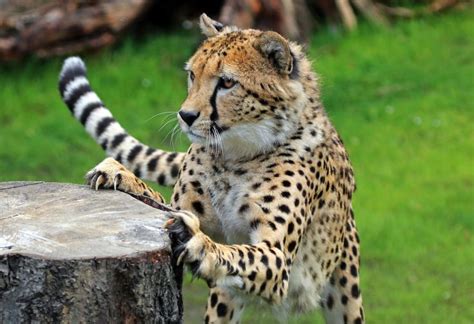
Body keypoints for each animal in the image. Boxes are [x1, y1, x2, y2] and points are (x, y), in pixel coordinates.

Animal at [58, 13, 362, 322]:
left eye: (227, 83)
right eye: (193, 75)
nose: (186, 115)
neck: (235, 155)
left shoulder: (278, 261)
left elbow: (242, 254)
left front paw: (203, 248)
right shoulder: (180, 208)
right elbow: (156, 201)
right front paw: (120, 175)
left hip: (345, 290)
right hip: (224, 301)